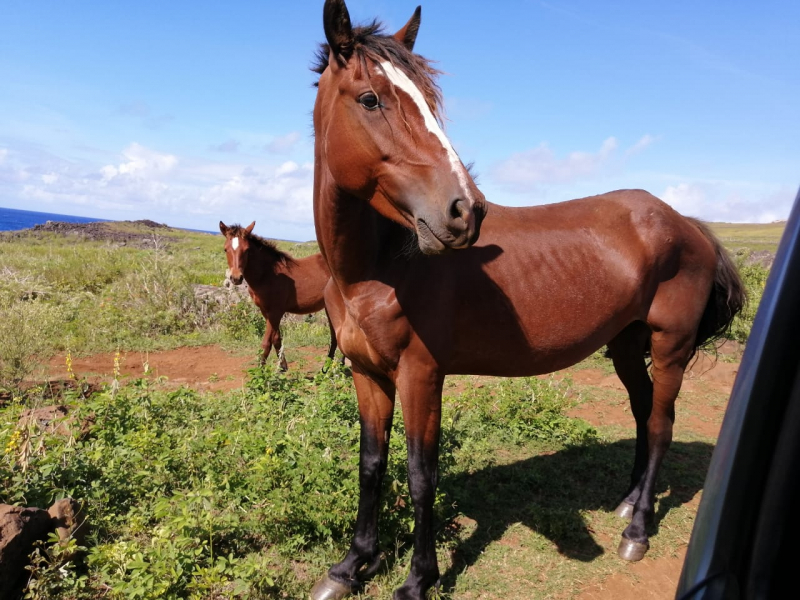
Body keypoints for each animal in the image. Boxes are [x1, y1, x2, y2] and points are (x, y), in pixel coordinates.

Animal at [219, 220, 340, 370]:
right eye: (225, 249)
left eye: (246, 250)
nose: (236, 278)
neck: (267, 275)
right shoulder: (266, 311)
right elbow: (276, 339)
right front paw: (282, 366)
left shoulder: (275, 311)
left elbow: (266, 343)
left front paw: (261, 372)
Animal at [310, 2, 748, 596]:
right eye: (370, 99)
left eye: (430, 101)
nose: (465, 210)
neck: (377, 269)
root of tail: (687, 223)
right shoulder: (367, 372)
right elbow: (371, 465)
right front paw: (352, 565)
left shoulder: (421, 375)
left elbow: (422, 473)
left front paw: (419, 578)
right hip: (626, 345)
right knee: (642, 411)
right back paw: (629, 500)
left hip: (670, 345)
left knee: (660, 425)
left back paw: (636, 530)